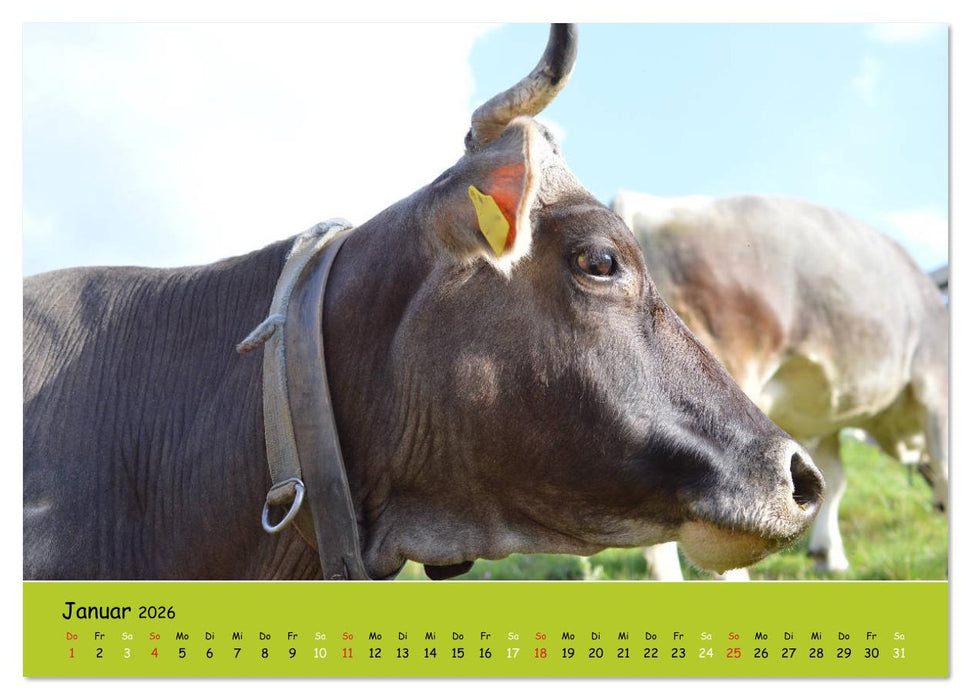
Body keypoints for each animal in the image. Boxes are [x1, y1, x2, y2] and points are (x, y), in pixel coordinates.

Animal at [612, 191, 948, 577]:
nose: (938, 509)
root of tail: (646, 203)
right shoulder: (935, 387)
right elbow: (946, 465)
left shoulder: (825, 423)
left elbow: (833, 480)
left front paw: (827, 555)